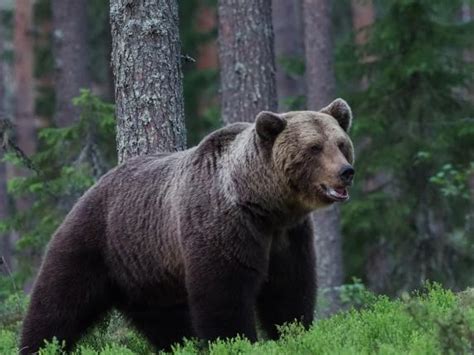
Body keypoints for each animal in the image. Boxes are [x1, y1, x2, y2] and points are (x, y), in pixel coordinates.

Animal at [20, 98, 354, 354]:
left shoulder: (288, 237)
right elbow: (224, 295)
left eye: (340, 144)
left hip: (146, 272)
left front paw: (293, 333)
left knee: (166, 322)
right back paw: (38, 345)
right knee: (58, 304)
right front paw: (237, 342)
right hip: (95, 242)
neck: (264, 205)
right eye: (314, 147)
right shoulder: (224, 226)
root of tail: (92, 187)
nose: (346, 171)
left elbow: (289, 292)